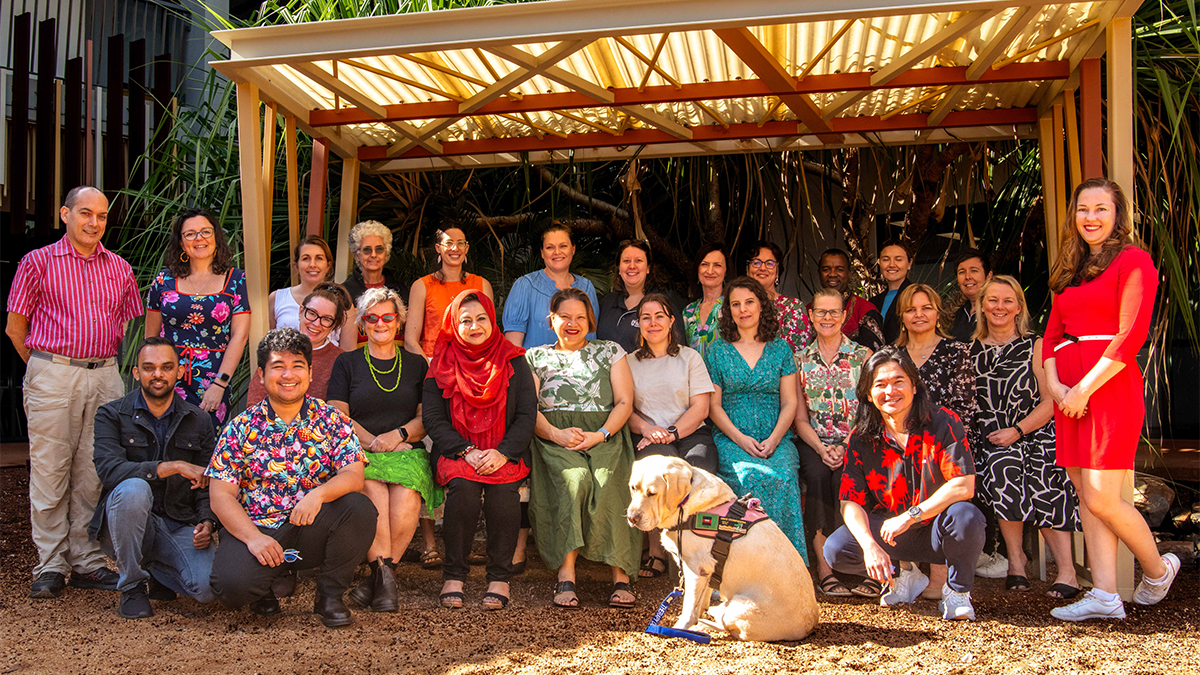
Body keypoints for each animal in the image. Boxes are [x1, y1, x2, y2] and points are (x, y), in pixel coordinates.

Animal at [628, 454, 816, 638]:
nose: (632, 517)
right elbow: (701, 601)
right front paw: (700, 613)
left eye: (652, 493)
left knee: (728, 628)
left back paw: (704, 624)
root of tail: (810, 626)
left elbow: (689, 607)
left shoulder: (696, 568)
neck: (686, 504)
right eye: (633, 488)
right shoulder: (708, 571)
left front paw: (681, 627)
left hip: (738, 608)